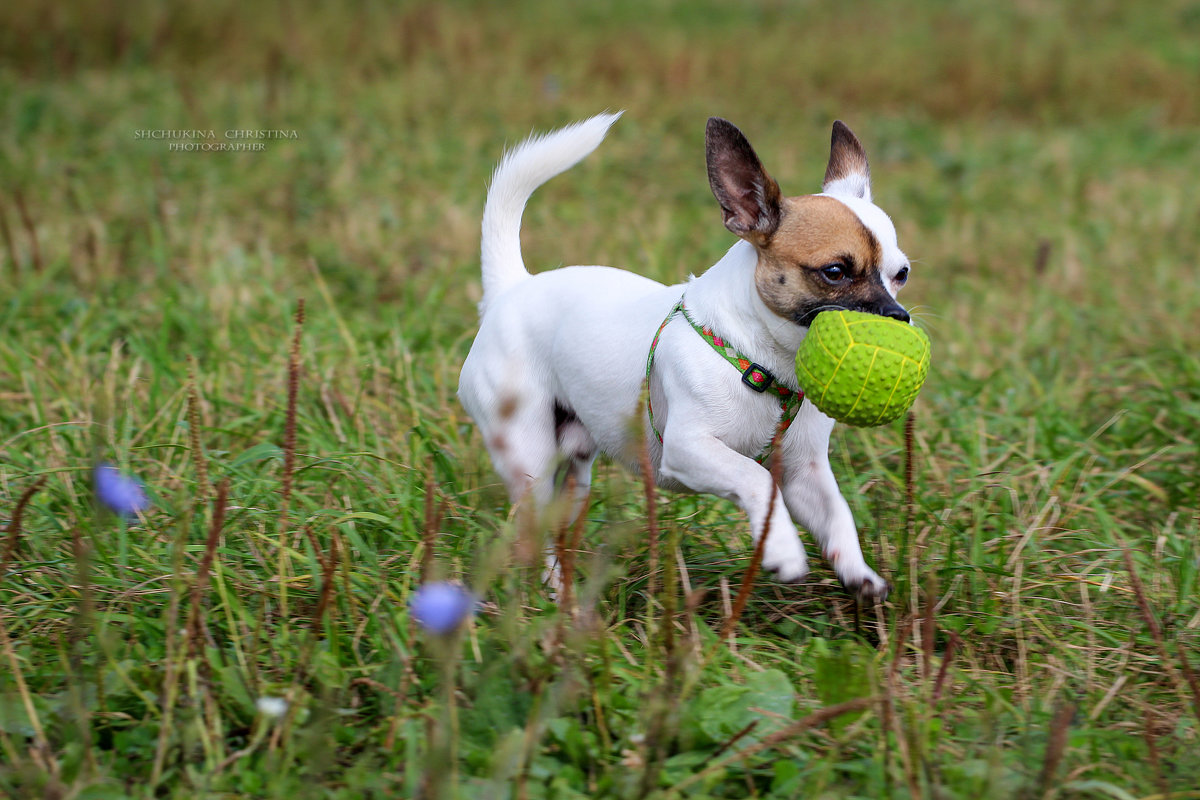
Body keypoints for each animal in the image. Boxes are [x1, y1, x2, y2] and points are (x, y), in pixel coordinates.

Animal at [458, 112, 907, 599]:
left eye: (901, 274)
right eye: (835, 272)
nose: (899, 318)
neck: (762, 361)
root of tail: (511, 287)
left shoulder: (804, 474)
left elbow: (836, 511)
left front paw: (858, 572)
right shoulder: (690, 448)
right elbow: (755, 477)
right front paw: (783, 550)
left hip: (575, 471)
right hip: (529, 458)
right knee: (532, 526)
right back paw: (554, 594)